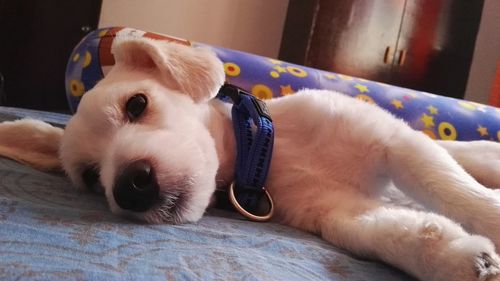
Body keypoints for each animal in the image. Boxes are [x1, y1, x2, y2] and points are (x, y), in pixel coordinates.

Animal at [0, 36, 500, 278]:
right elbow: (399, 232)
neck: (267, 155)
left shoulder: (396, 144)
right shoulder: (338, 212)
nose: (128, 186)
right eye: (90, 176)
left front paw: (484, 220)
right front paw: (460, 259)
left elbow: (457, 193)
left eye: (136, 104)